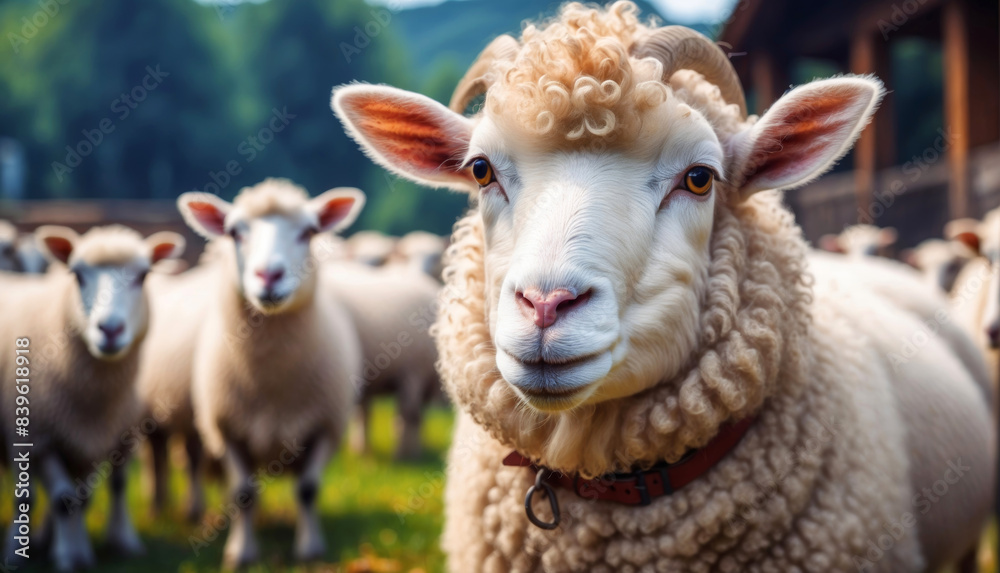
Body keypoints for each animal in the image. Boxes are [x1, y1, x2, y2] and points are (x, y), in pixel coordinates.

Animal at [0, 224, 184, 571]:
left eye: (143, 276)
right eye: (77, 274)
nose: (110, 329)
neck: (95, 398)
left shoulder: (106, 434)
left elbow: (89, 496)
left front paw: (100, 548)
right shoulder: (41, 437)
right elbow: (63, 500)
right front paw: (67, 557)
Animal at [176, 178, 364, 569]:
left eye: (308, 232)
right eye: (234, 232)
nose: (268, 275)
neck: (271, 379)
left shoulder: (324, 426)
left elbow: (307, 490)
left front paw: (310, 548)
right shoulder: (227, 429)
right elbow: (242, 494)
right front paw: (241, 551)